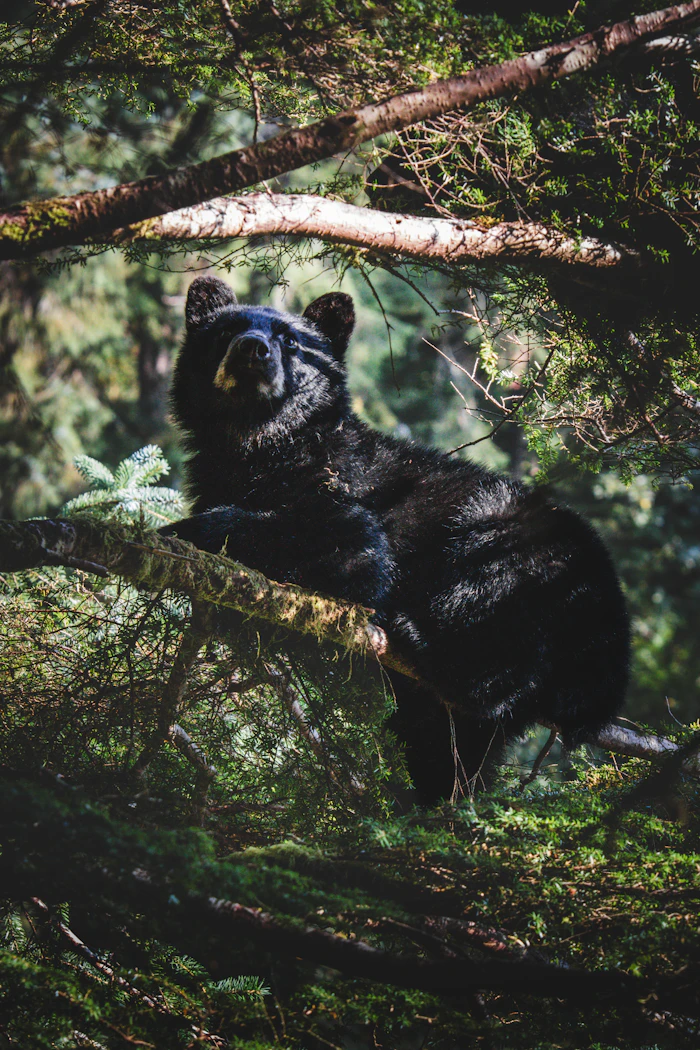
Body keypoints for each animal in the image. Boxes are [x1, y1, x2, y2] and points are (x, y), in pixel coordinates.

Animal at [162, 275, 630, 804]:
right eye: (226, 331)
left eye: (291, 341)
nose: (252, 349)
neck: (261, 446)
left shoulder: (340, 484)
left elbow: (351, 549)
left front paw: (175, 529)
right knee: (450, 750)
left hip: (512, 547)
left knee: (492, 617)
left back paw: (422, 640)